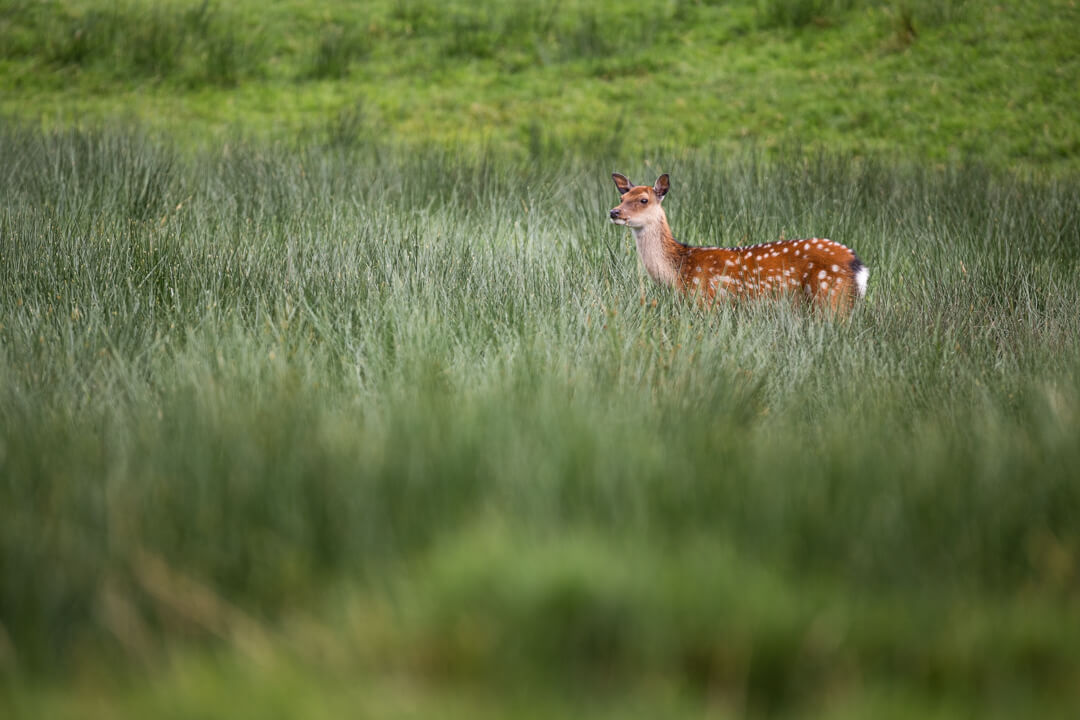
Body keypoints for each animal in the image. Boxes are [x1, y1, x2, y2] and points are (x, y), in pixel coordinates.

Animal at [609, 172, 868, 313]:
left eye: (643, 200)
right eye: (622, 196)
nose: (614, 212)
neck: (679, 271)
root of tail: (858, 265)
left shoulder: (707, 301)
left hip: (830, 297)